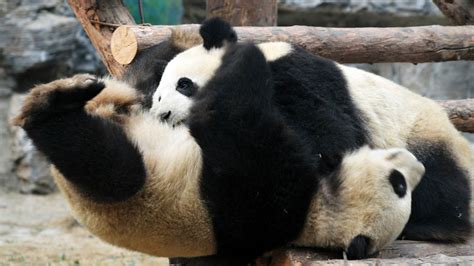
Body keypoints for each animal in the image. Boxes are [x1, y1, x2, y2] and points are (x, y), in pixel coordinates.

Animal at [13, 17, 422, 262]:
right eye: (401, 184)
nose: (414, 164)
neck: (312, 212)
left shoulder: (264, 191)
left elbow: (235, 123)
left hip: (122, 183)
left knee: (95, 158)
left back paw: (53, 104)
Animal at [153, 16, 474, 246]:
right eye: (156, 98)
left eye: (183, 84)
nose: (163, 115)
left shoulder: (293, 76)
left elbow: (330, 136)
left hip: (421, 131)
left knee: (442, 179)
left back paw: (431, 226)